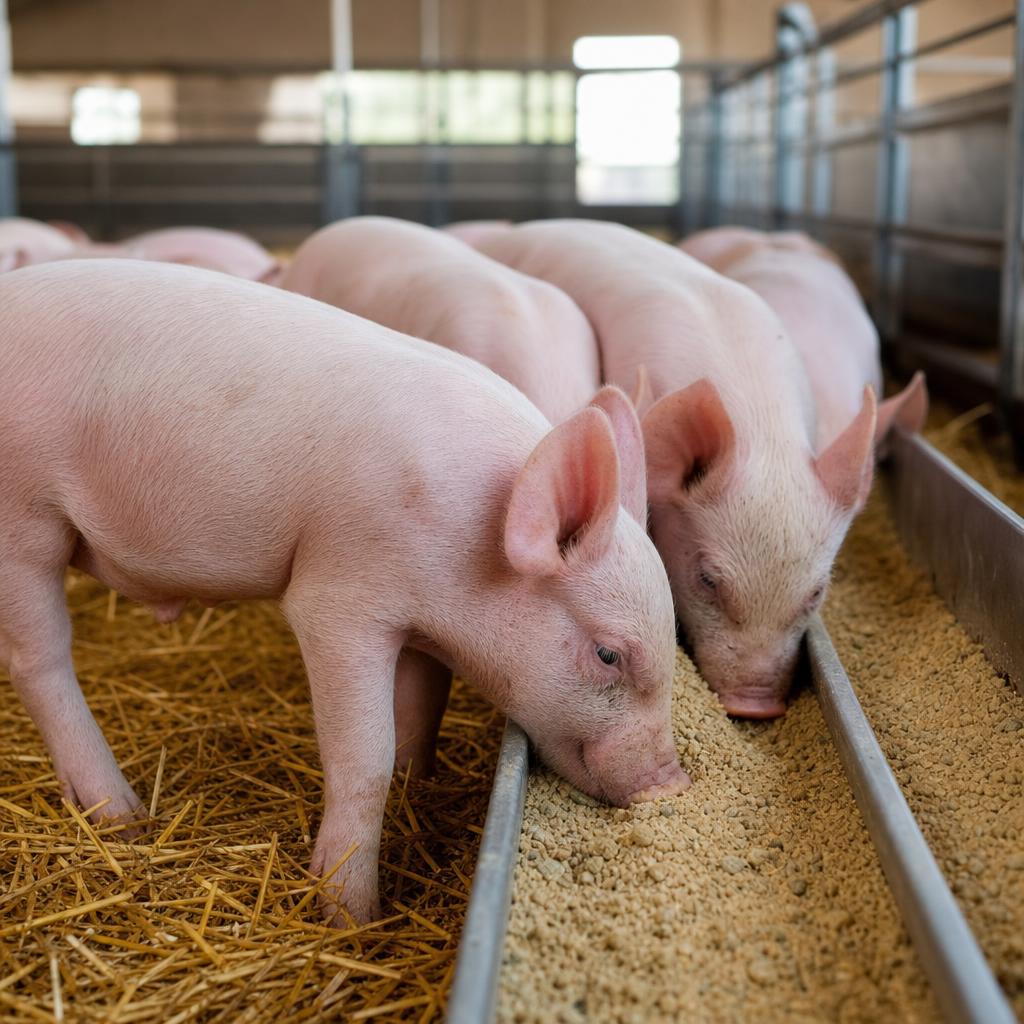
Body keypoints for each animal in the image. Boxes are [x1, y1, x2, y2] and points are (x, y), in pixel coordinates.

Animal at [0, 258, 687, 923]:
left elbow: (421, 708)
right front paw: (352, 917)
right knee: (39, 660)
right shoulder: (340, 597)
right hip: (23, 520)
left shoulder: (421, 624)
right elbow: (365, 757)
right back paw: (125, 818)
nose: (673, 782)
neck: (477, 544)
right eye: (608, 654)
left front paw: (418, 783)